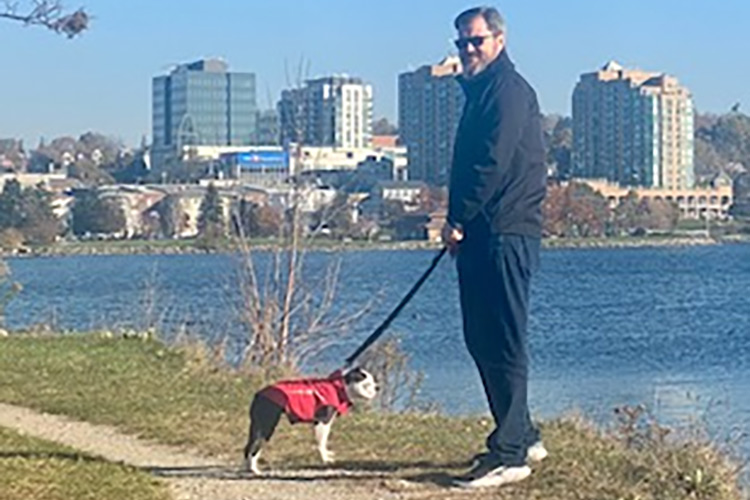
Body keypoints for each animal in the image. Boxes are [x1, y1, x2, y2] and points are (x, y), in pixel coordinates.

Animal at [244, 368, 378, 472]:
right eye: (367, 384)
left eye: (373, 380)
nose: (378, 387)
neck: (340, 386)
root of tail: (259, 395)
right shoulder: (322, 423)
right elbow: (321, 442)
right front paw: (325, 459)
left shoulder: (323, 423)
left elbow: (324, 442)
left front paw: (327, 455)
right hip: (266, 426)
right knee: (255, 446)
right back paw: (254, 469)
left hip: (257, 426)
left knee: (249, 446)